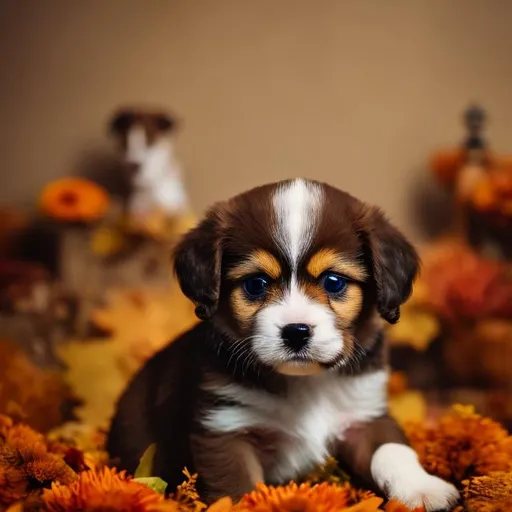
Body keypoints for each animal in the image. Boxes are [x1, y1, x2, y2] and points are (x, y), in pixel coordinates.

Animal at [108, 178, 460, 510]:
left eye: (334, 282)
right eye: (255, 284)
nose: (296, 332)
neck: (306, 384)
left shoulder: (364, 414)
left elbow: (391, 449)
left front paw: (423, 489)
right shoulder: (225, 429)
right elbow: (236, 490)